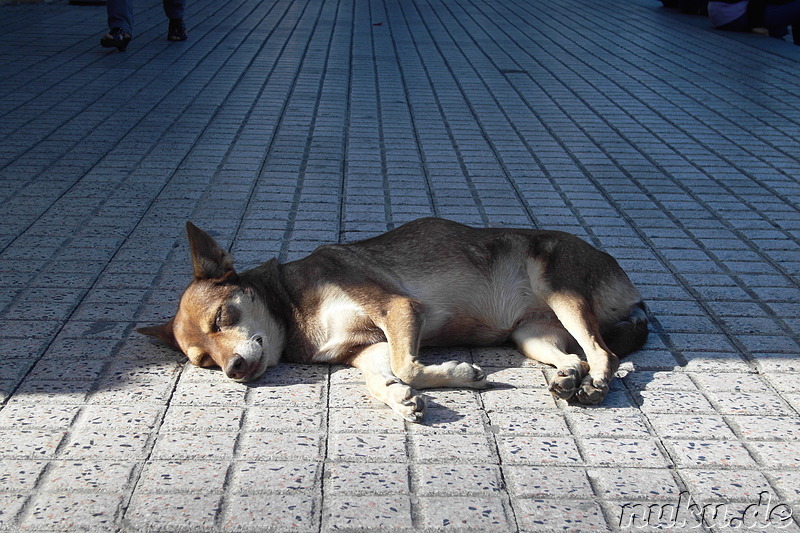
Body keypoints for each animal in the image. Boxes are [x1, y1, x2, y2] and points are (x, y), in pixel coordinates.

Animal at [141, 216, 648, 420]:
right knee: (577, 357)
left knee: (602, 353)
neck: (292, 302)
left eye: (222, 317)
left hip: (558, 289)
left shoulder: (399, 310)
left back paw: (595, 386)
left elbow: (409, 365)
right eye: (205, 362)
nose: (233, 370)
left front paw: (459, 374)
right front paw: (399, 399)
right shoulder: (369, 347)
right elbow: (383, 378)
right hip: (529, 335)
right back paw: (567, 378)